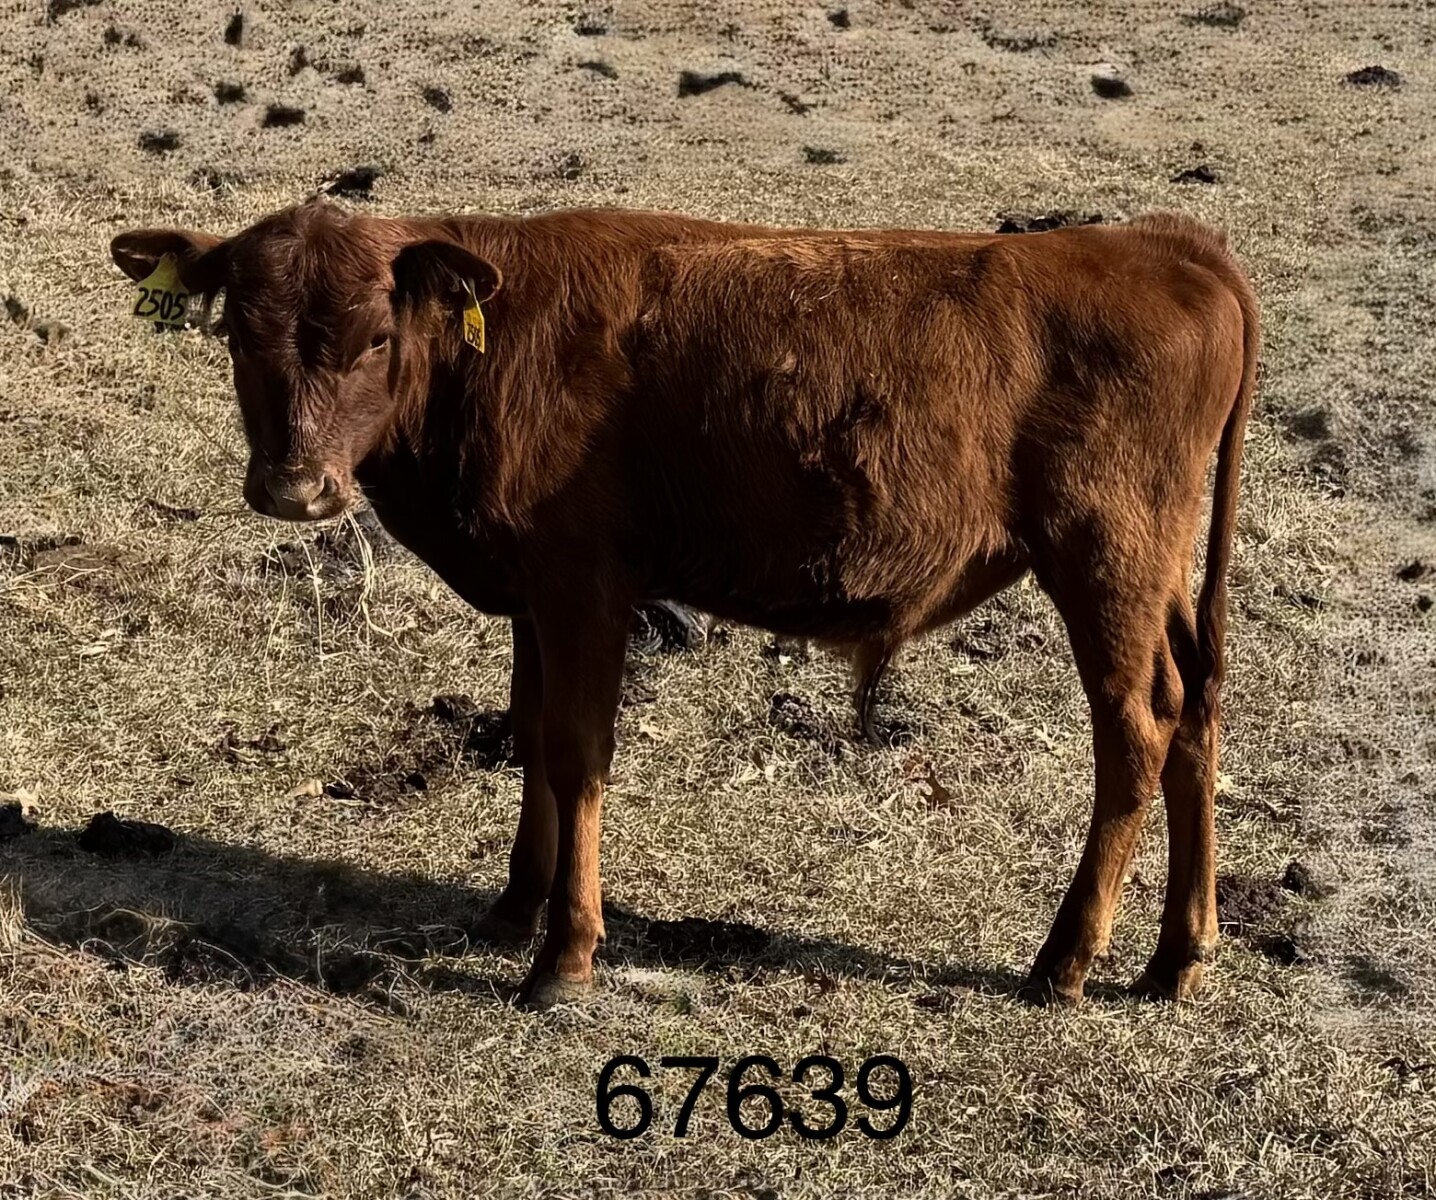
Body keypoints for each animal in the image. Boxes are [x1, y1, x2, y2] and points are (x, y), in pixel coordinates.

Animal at [110, 201, 1258, 1010]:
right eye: (237, 334)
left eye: (376, 340)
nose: (294, 489)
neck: (499, 345)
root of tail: (1168, 249)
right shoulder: (535, 595)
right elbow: (530, 733)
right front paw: (513, 906)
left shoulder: (584, 585)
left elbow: (577, 752)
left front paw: (563, 954)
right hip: (1158, 584)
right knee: (1196, 714)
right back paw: (1176, 957)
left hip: (1104, 562)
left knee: (1136, 732)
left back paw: (1065, 960)